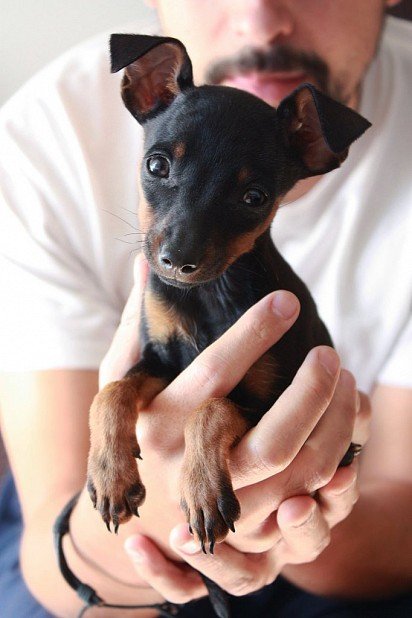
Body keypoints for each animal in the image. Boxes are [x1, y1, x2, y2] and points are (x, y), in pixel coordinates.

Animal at [87, 32, 370, 552]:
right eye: (156, 165)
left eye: (254, 198)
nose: (177, 261)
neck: (209, 294)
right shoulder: (163, 362)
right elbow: (113, 391)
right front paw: (110, 475)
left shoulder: (270, 398)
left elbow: (210, 407)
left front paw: (202, 489)